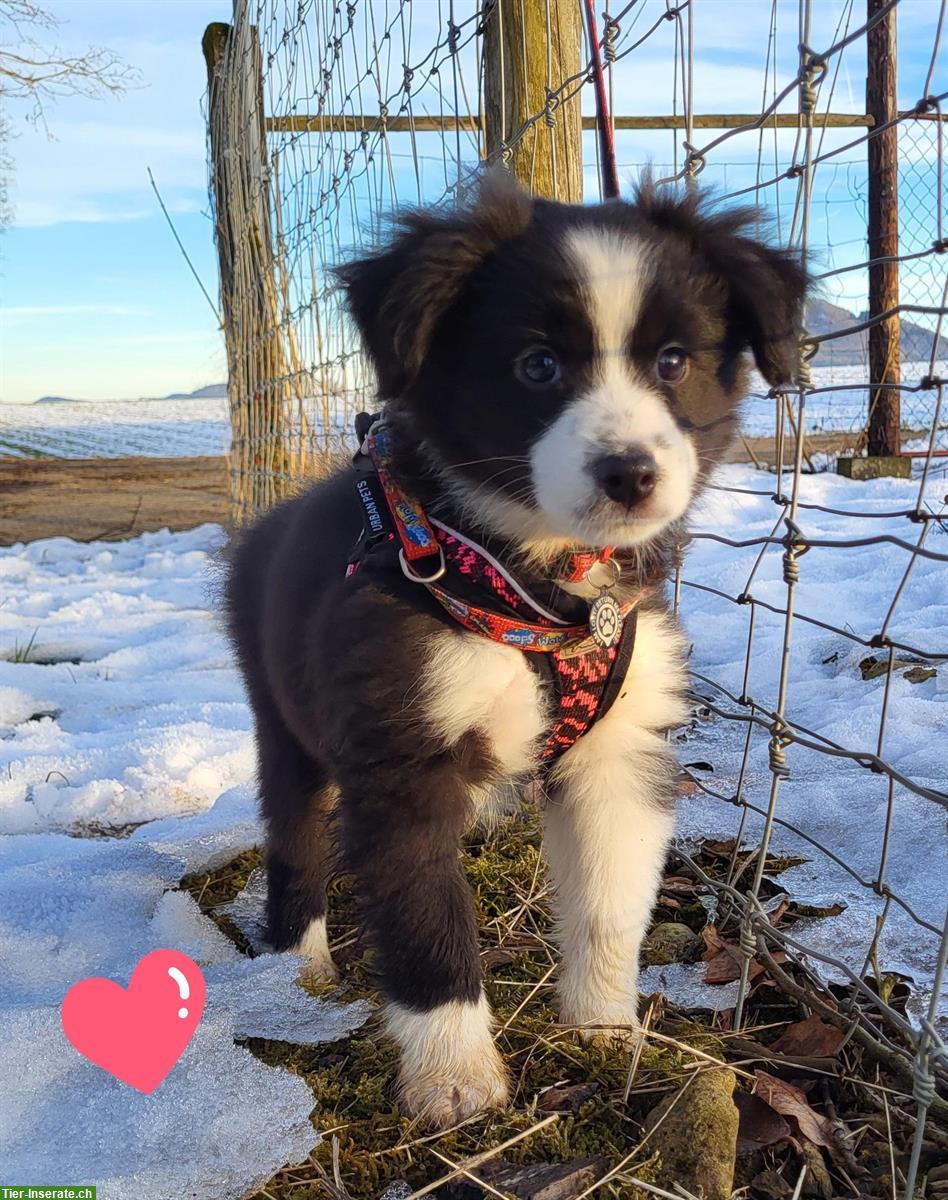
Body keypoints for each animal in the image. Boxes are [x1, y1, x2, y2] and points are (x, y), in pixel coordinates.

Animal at [224, 174, 811, 1128]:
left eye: (673, 361)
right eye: (537, 366)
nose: (631, 474)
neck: (539, 588)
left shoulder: (622, 747)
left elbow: (611, 904)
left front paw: (605, 1031)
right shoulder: (402, 745)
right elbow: (427, 919)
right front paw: (455, 1080)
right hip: (283, 717)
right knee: (296, 834)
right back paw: (298, 967)